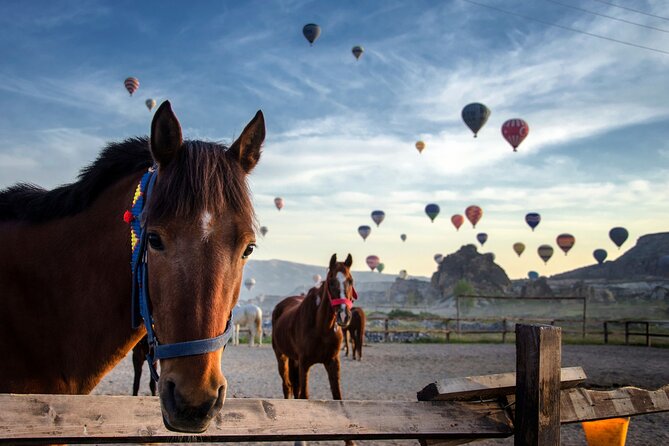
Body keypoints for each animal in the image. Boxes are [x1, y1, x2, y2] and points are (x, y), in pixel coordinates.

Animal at [271, 254, 356, 402]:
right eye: (331, 282)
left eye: (350, 280)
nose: (344, 315)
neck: (321, 329)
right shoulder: (304, 363)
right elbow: (304, 395)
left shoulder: (333, 362)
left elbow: (337, 395)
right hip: (281, 356)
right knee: (287, 386)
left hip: (294, 359)